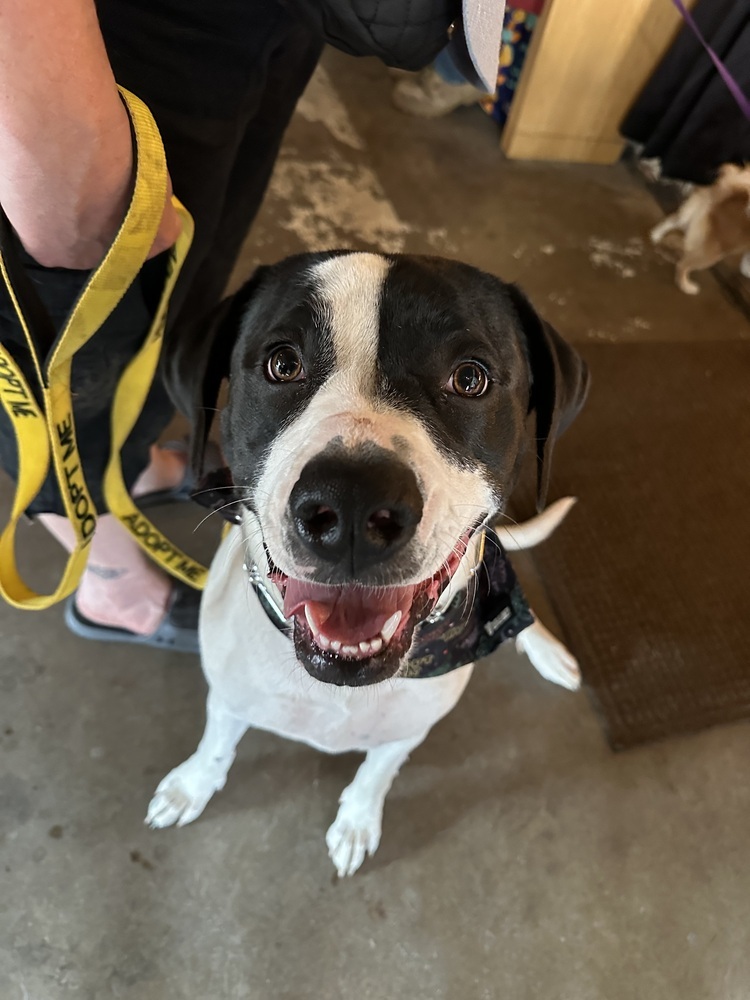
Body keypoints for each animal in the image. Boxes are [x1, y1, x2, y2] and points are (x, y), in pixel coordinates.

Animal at [148, 252, 592, 876]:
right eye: (282, 363)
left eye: (471, 378)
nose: (352, 504)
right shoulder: (230, 694)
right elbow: (216, 746)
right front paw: (191, 787)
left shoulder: (408, 730)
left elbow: (377, 774)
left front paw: (357, 821)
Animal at [648, 163, 750, 292]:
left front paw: (746, 269)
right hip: (713, 252)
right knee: (683, 264)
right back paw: (687, 286)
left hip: (686, 215)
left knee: (671, 221)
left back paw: (656, 235)